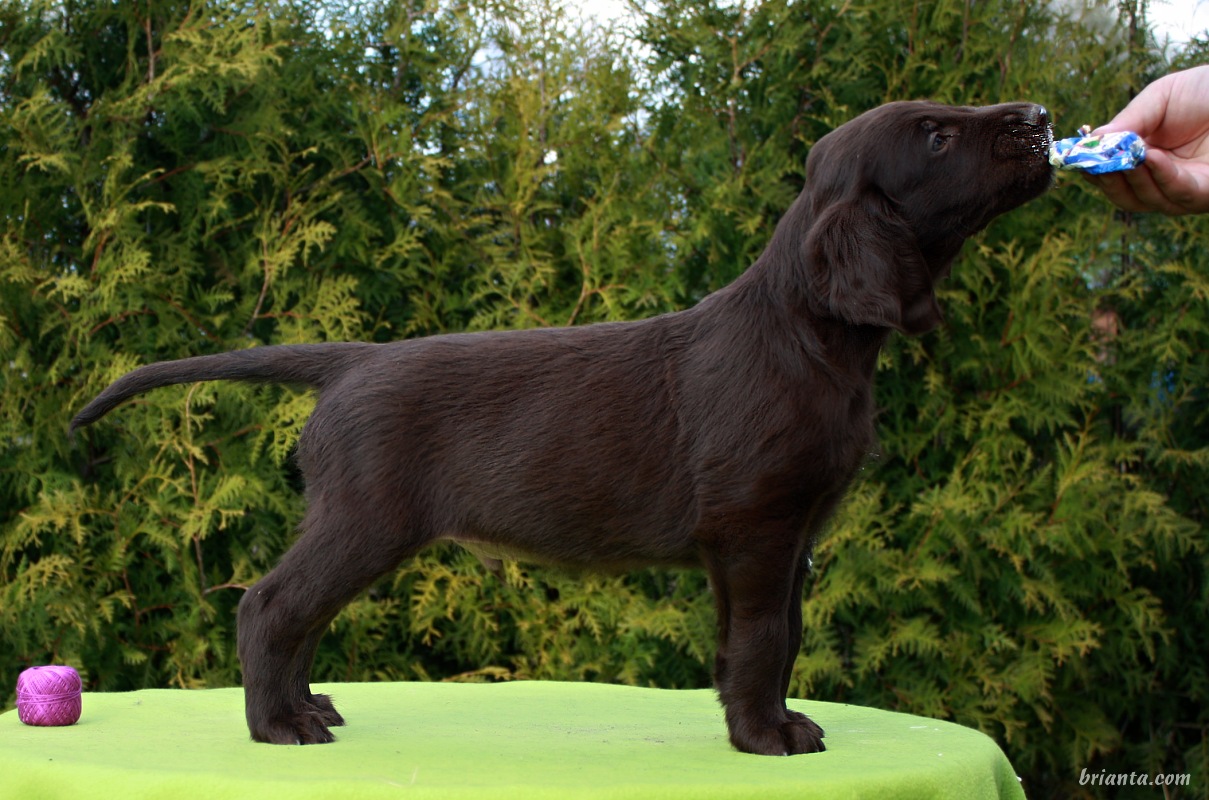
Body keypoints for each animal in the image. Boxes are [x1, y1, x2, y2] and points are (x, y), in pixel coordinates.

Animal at [71, 101, 1054, 754]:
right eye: (936, 137)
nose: (1039, 115)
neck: (808, 336)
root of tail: (351, 360)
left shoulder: (780, 539)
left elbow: (773, 637)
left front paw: (768, 720)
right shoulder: (756, 529)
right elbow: (764, 640)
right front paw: (763, 737)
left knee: (300, 613)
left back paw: (307, 708)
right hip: (366, 518)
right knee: (272, 605)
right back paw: (277, 725)